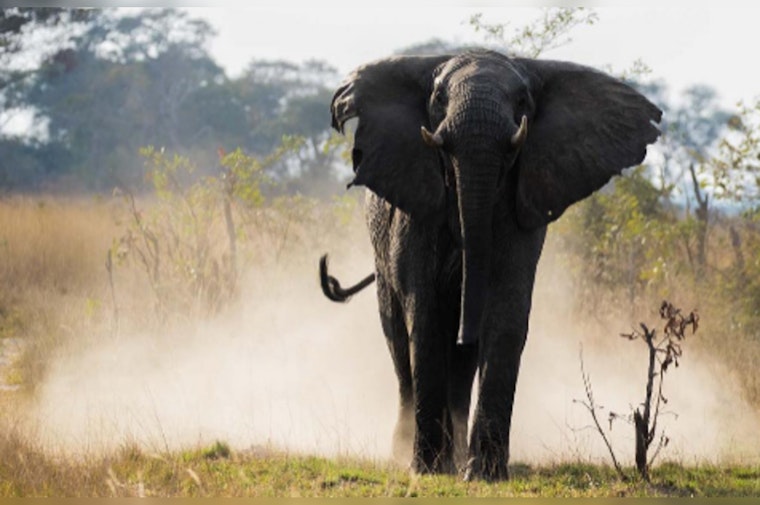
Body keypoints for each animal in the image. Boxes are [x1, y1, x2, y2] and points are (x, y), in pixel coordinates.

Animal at [319, 49, 661, 481]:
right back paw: (409, 454)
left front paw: (484, 474)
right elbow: (424, 315)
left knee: (460, 362)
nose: (465, 334)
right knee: (397, 335)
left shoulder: (522, 206)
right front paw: (427, 471)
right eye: (437, 98)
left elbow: (506, 313)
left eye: (522, 101)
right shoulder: (416, 205)